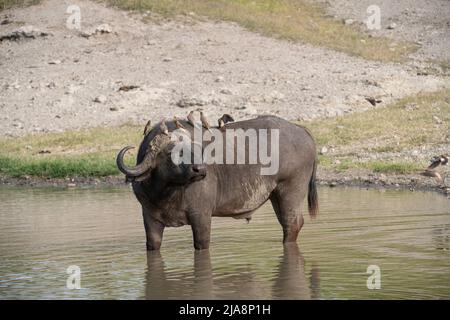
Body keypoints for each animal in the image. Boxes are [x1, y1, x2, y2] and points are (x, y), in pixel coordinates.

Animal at [118, 115, 318, 250]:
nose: (200, 169)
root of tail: (302, 130)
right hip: (275, 195)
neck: (167, 193)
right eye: (171, 152)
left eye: (195, 149)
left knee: (292, 223)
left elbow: (201, 243)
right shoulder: (149, 218)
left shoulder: (201, 216)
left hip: (290, 192)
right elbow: (153, 244)